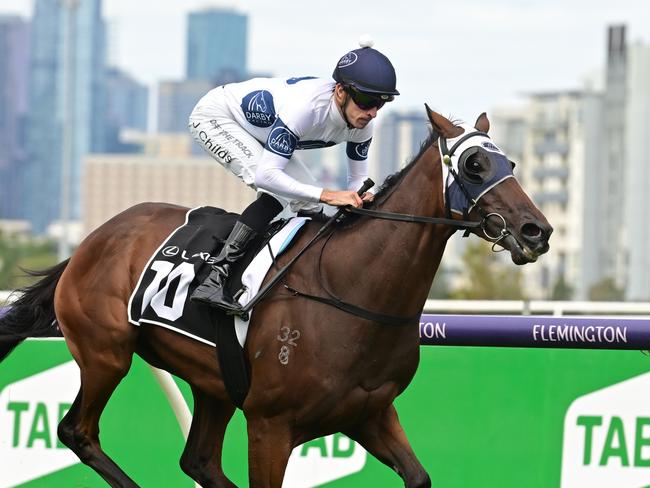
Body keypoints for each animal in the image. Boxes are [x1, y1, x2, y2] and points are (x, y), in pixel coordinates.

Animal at [0, 107, 548, 488]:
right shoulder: (271, 427)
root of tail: (89, 242)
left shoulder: (371, 413)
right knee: (78, 431)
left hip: (215, 383)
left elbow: (419, 477)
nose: (536, 230)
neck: (350, 288)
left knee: (198, 460)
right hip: (105, 353)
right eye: (474, 164)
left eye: (510, 161)